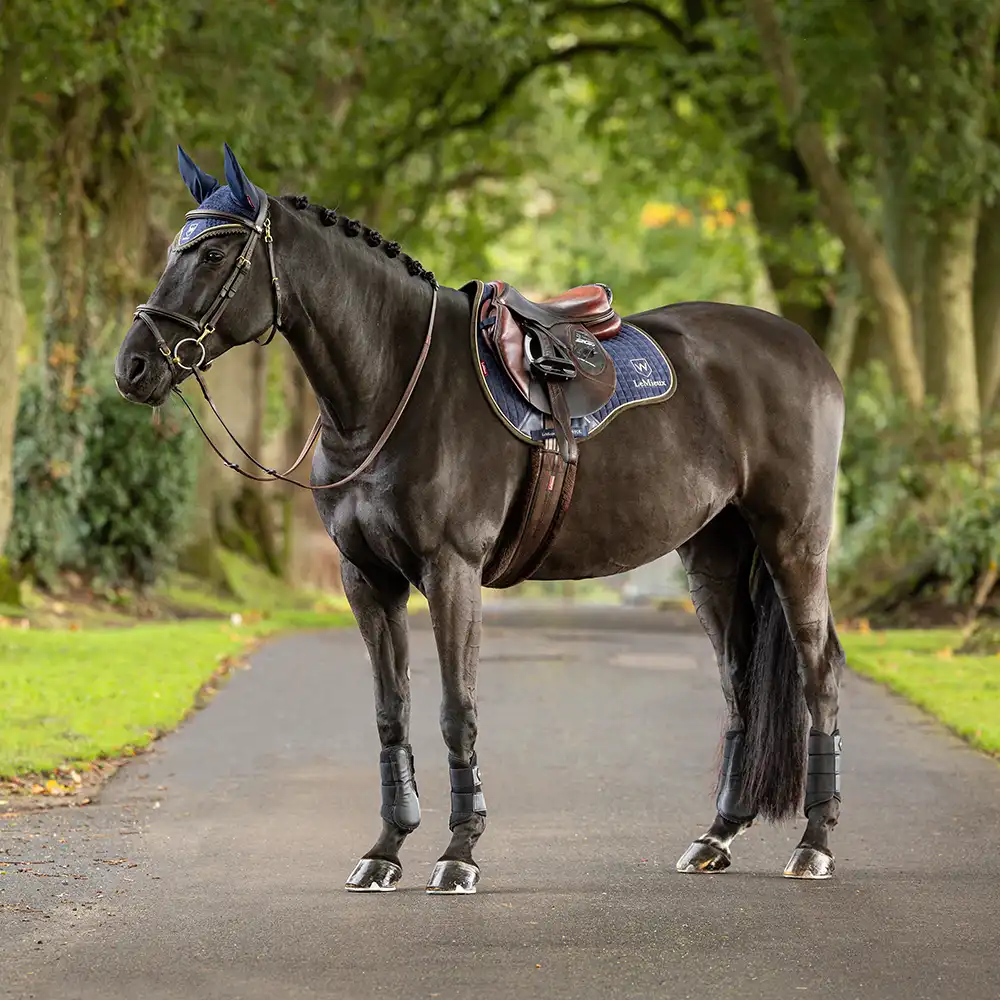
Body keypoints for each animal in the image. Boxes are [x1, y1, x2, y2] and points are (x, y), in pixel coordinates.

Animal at [114, 144, 846, 893]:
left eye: (212, 254)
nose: (133, 366)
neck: (395, 389)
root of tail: (805, 350)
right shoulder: (367, 580)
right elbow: (391, 713)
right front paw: (386, 849)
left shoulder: (452, 572)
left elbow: (454, 711)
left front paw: (459, 852)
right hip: (714, 556)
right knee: (738, 682)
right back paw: (717, 836)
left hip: (793, 542)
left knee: (819, 672)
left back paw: (813, 845)